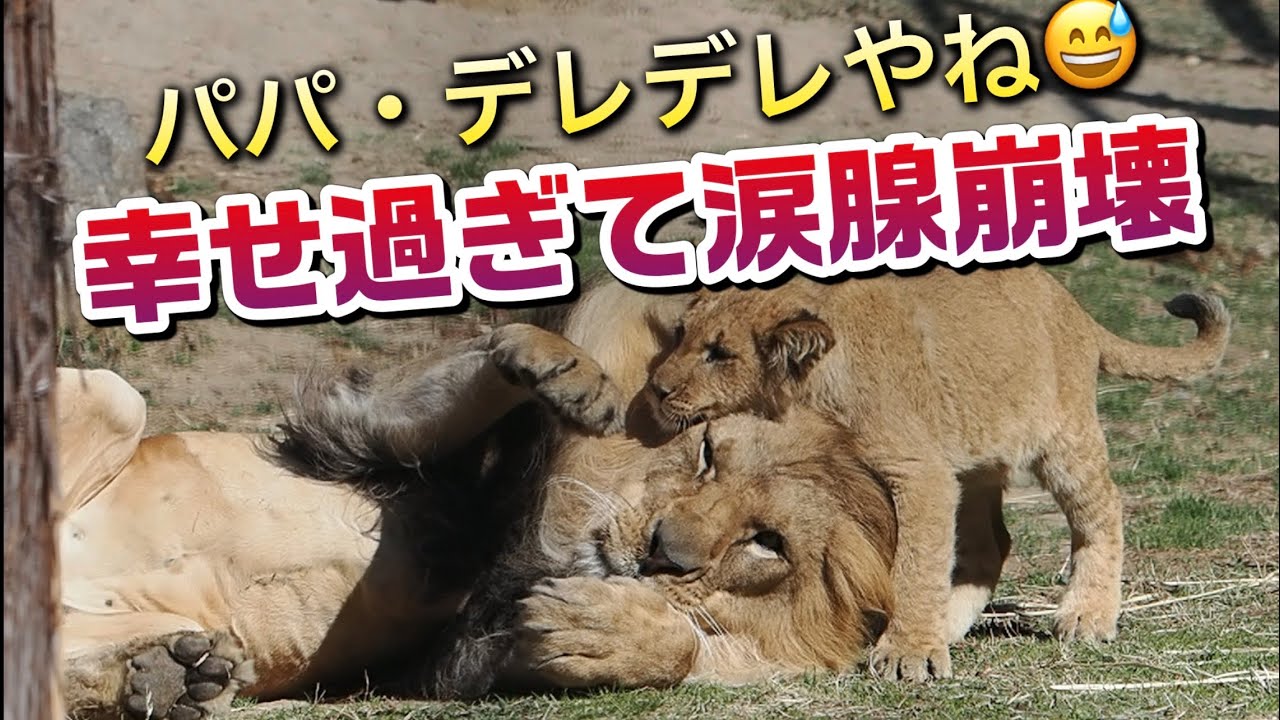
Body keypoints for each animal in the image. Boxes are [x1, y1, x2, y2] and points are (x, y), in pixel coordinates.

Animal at [644, 264, 1231, 681]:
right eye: (681, 333)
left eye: (720, 353)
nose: (656, 389)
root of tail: (1074, 308)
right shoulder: (929, 473)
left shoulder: (919, 471)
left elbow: (915, 563)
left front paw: (908, 655)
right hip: (972, 461)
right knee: (992, 543)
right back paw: (948, 625)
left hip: (1061, 441)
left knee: (1103, 508)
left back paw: (1087, 616)